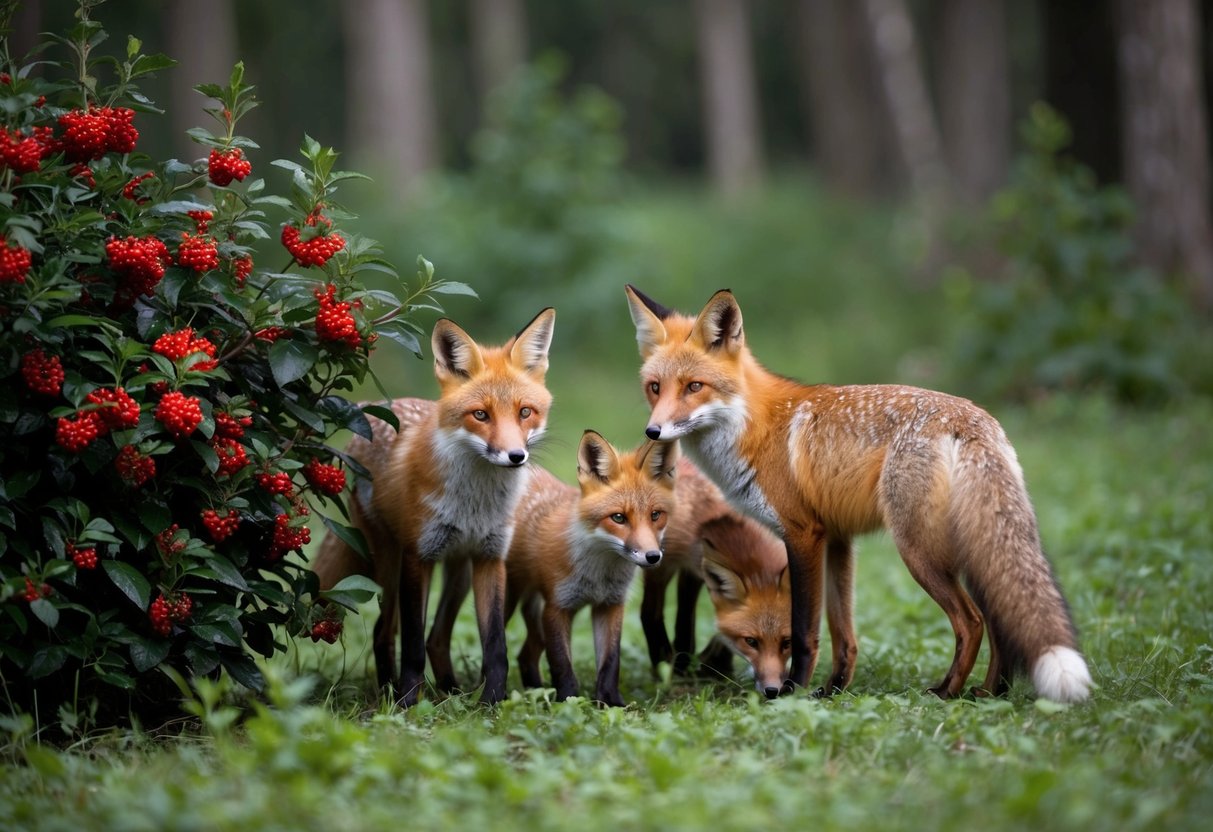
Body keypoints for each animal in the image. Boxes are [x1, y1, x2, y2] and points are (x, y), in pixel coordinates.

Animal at [310, 308, 556, 706]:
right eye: (481, 415)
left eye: (525, 413)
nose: (516, 456)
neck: (474, 503)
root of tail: (370, 417)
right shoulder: (418, 556)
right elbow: (411, 643)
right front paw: (410, 702)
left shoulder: (491, 557)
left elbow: (495, 645)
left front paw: (492, 702)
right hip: (388, 561)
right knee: (385, 630)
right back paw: (390, 692)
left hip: (459, 572)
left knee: (437, 638)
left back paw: (451, 691)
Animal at [639, 458, 790, 692]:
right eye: (752, 642)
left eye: (787, 643)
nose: (773, 690)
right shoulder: (664, 563)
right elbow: (651, 613)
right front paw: (668, 665)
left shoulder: (697, 569)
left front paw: (711, 662)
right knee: (651, 611)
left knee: (684, 614)